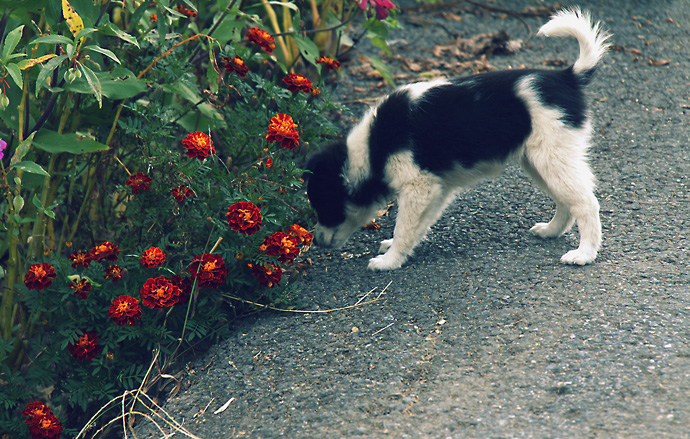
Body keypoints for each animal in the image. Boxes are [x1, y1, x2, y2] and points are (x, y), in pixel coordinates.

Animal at [306, 8, 608, 272]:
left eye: (324, 206)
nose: (316, 242)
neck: (373, 147)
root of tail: (567, 76)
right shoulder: (436, 189)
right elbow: (416, 226)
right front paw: (396, 249)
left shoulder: (419, 185)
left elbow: (404, 226)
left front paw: (389, 261)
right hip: (539, 161)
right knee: (567, 201)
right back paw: (550, 231)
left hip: (553, 157)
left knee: (586, 203)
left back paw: (584, 254)